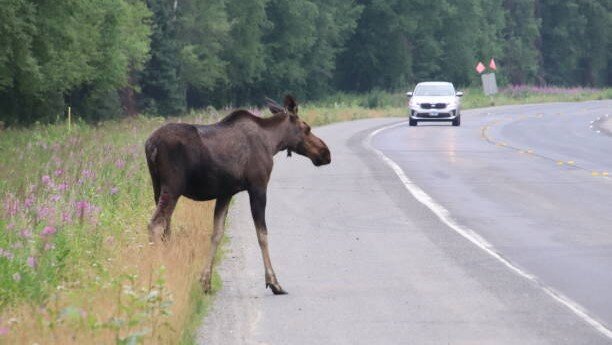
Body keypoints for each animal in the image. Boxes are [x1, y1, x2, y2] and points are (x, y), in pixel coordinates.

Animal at [145, 95, 330, 294]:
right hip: (173, 187)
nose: (326, 153)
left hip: (158, 187)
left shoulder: (225, 193)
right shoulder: (258, 187)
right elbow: (262, 234)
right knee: (156, 225)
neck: (272, 142)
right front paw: (273, 282)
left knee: (165, 228)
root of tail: (150, 145)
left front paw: (205, 281)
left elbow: (217, 233)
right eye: (307, 128)